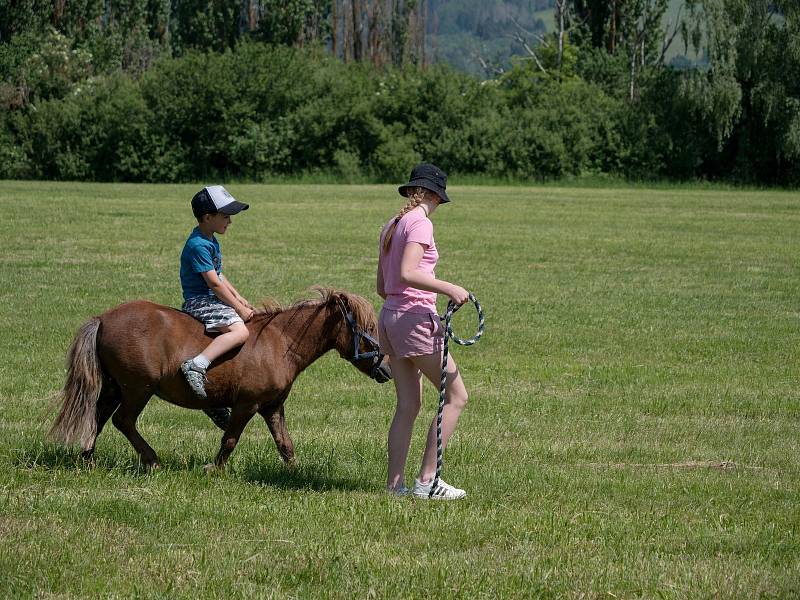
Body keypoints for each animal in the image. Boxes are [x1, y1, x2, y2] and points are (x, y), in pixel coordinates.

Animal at [47, 288, 390, 472]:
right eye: (368, 328)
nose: (386, 368)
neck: (280, 341)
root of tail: (103, 318)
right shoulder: (247, 404)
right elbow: (230, 439)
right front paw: (214, 468)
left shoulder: (272, 407)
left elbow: (285, 444)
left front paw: (295, 473)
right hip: (137, 388)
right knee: (123, 421)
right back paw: (152, 460)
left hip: (115, 387)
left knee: (99, 417)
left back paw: (88, 459)